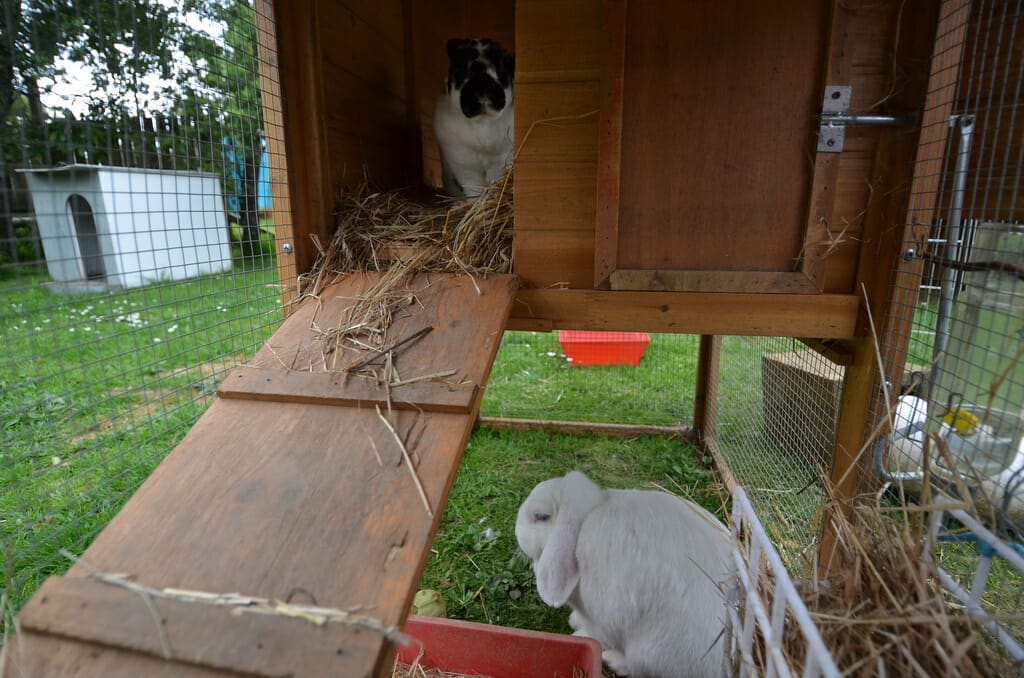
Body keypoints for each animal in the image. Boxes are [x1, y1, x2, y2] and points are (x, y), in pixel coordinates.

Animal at [430, 37, 512, 197]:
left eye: (501, 68)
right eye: (461, 68)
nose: (483, 90)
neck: (482, 123)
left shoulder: (501, 161)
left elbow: (494, 181)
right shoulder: (464, 167)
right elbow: (474, 189)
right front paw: (474, 201)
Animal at [516, 473, 741, 678]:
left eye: (540, 516)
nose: (516, 530)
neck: (590, 513)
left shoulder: (602, 618)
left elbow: (598, 633)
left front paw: (579, 633)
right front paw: (575, 620)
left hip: (647, 652)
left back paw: (611, 659)